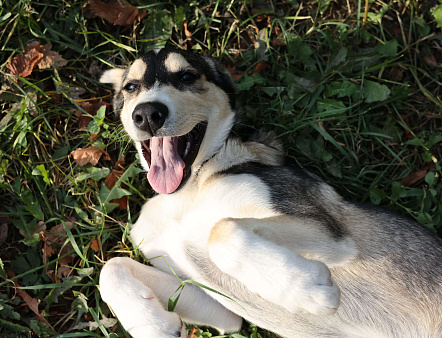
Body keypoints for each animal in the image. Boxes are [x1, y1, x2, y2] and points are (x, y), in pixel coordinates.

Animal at [99, 48, 442, 338]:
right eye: (131, 87)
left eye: (186, 76)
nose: (147, 114)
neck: (190, 189)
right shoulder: (221, 311)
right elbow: (110, 267)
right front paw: (152, 326)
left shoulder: (328, 231)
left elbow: (220, 230)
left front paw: (306, 289)